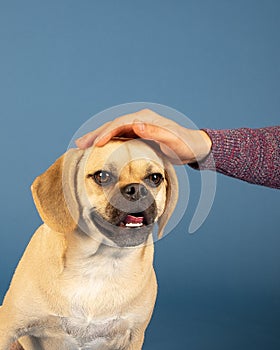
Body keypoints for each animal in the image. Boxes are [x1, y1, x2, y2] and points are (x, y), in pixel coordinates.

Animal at [0, 138, 178, 348]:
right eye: (102, 176)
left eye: (155, 178)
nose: (137, 189)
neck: (99, 264)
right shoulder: (8, 328)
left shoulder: (133, 336)